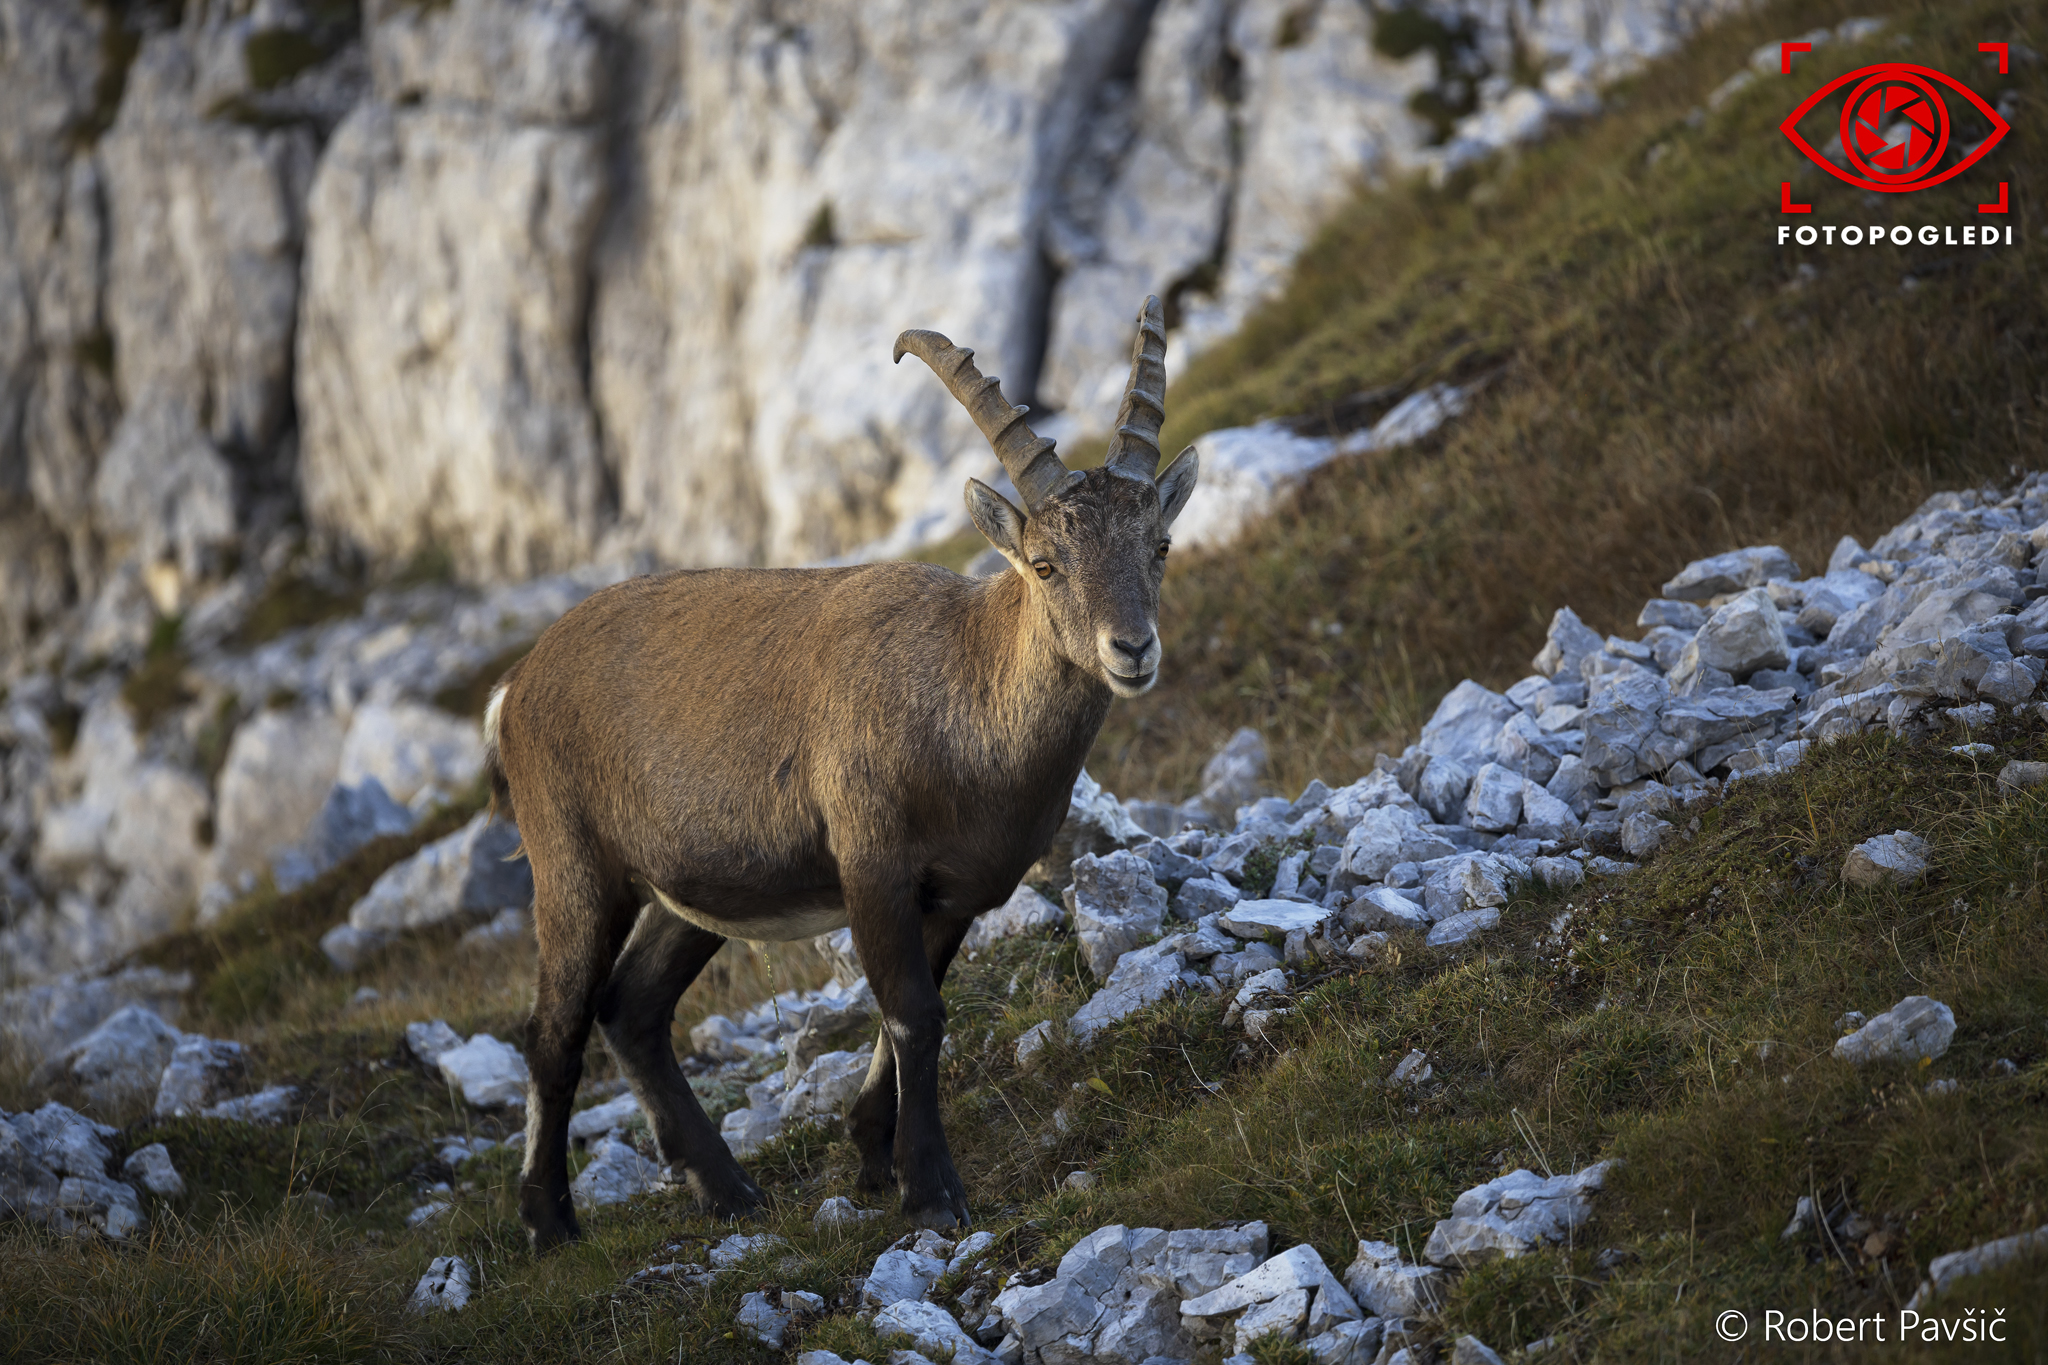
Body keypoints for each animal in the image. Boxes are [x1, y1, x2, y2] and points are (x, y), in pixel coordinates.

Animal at [485, 296, 1199, 1247]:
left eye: (1159, 544)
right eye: (1047, 564)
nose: (1131, 649)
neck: (960, 693)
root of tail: (516, 687)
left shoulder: (952, 891)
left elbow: (909, 1018)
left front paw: (871, 1151)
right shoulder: (872, 863)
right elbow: (913, 1016)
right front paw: (930, 1189)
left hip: (695, 886)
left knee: (631, 1008)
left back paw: (727, 1189)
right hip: (574, 867)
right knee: (553, 1028)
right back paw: (549, 1220)